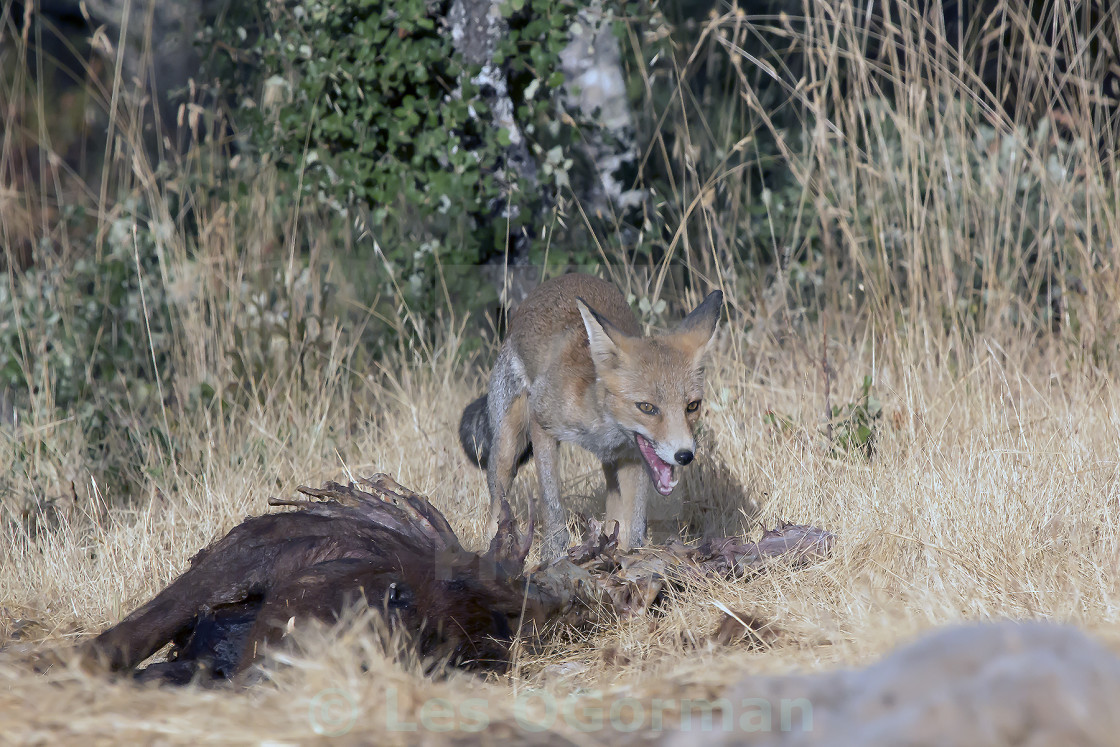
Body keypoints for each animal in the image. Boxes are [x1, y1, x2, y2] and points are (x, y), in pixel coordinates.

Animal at [459, 274, 721, 559]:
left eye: (692, 406)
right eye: (647, 407)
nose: (684, 455)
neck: (603, 429)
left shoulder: (632, 456)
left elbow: (634, 521)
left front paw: (631, 557)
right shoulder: (542, 423)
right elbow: (551, 501)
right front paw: (554, 552)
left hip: (611, 465)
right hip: (507, 448)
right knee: (498, 500)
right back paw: (494, 546)